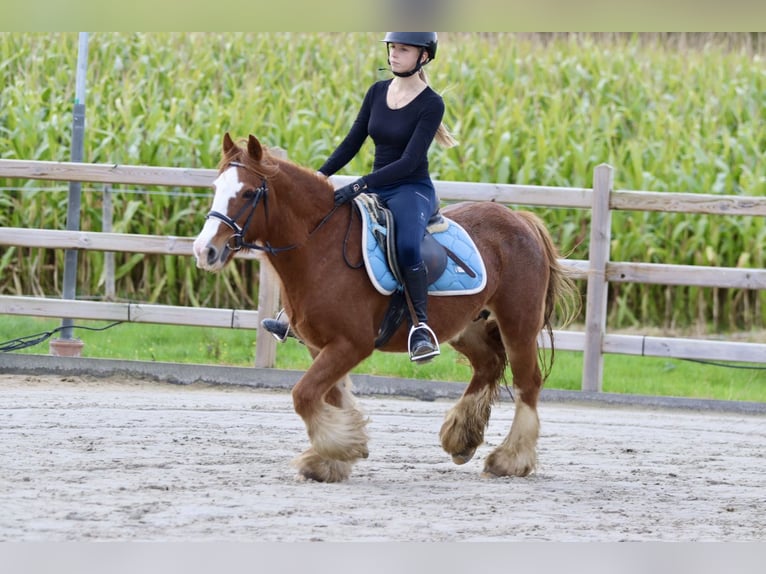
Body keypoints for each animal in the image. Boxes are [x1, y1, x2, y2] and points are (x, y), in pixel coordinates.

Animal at [192, 133, 576, 484]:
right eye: (216, 187)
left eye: (247, 193)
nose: (204, 250)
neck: (320, 247)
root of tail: (522, 219)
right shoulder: (322, 346)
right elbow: (327, 396)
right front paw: (335, 457)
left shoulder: (351, 344)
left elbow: (304, 395)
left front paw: (340, 448)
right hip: (468, 326)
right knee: (489, 364)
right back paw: (461, 440)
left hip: (518, 323)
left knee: (528, 382)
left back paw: (510, 459)